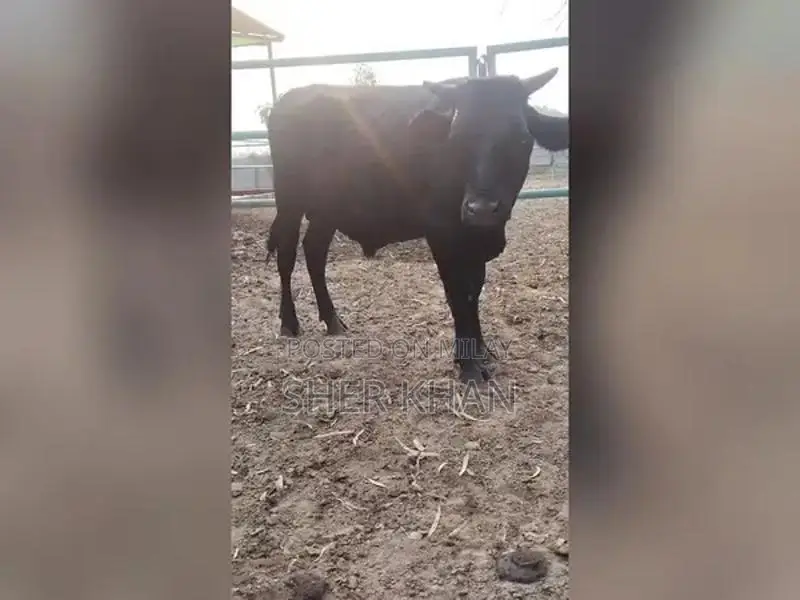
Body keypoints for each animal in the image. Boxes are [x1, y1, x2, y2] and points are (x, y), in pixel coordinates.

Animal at [265, 70, 568, 383]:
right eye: (456, 139)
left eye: (522, 139)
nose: (481, 210)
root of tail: (290, 99)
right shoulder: (442, 235)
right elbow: (458, 293)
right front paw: (469, 365)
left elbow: (474, 290)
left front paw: (482, 352)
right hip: (289, 201)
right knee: (287, 256)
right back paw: (289, 322)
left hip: (327, 211)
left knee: (314, 253)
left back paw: (332, 320)